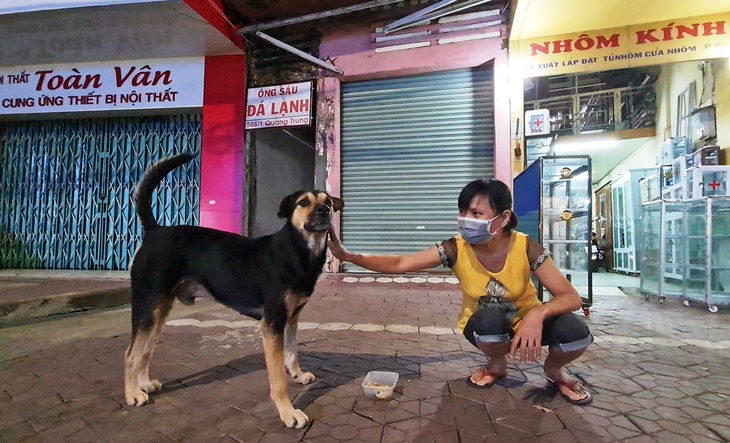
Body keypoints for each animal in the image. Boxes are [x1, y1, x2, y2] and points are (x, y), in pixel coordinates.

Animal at [123, 153, 344, 430]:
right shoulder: (272, 323)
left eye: (328, 202)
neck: (297, 251)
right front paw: (288, 412)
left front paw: (299, 375)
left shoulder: (292, 318)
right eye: (303, 202)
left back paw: (143, 383)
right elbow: (278, 380)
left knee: (146, 349)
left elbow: (292, 354)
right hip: (148, 304)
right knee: (131, 353)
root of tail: (154, 231)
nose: (325, 211)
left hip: (159, 309)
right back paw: (132, 393)